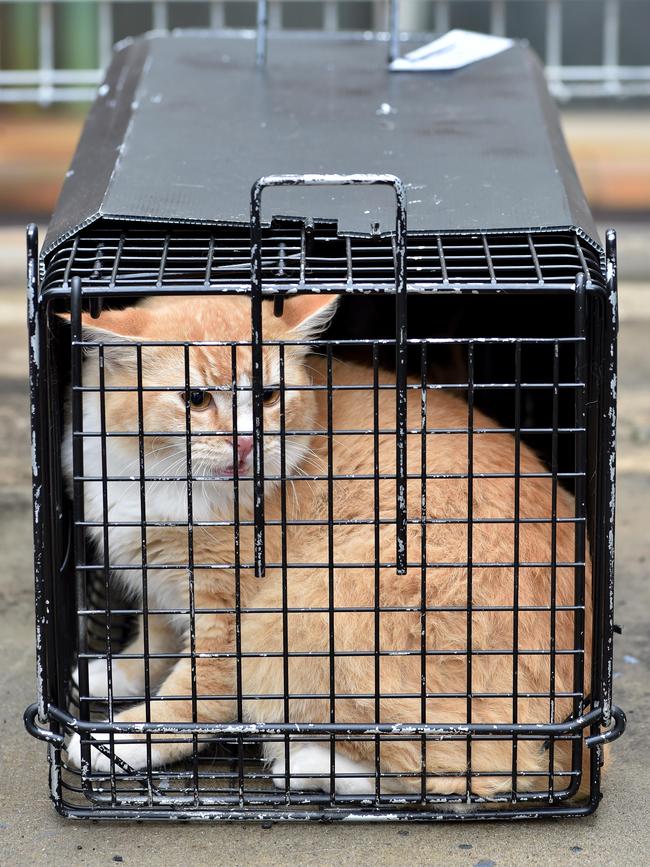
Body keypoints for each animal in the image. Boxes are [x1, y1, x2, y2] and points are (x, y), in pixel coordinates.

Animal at [64, 294, 588, 800]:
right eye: (195, 398)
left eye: (268, 396)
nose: (245, 443)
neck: (159, 479)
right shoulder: (161, 586)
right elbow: (151, 646)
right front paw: (102, 675)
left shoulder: (228, 623)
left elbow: (190, 702)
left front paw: (117, 741)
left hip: (296, 617)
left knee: (479, 771)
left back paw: (310, 765)